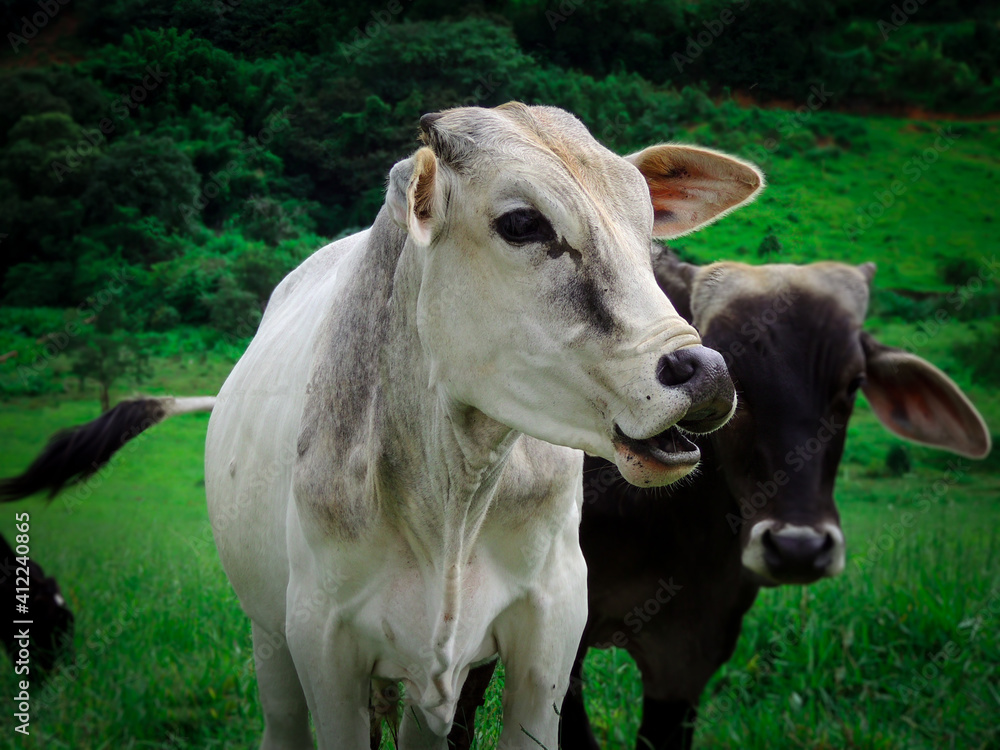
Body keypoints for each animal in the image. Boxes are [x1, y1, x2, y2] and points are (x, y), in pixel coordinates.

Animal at [0, 103, 768, 748]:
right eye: (522, 223)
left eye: (645, 227)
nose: (704, 372)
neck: (452, 497)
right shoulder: (322, 643)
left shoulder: (549, 631)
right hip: (269, 637)